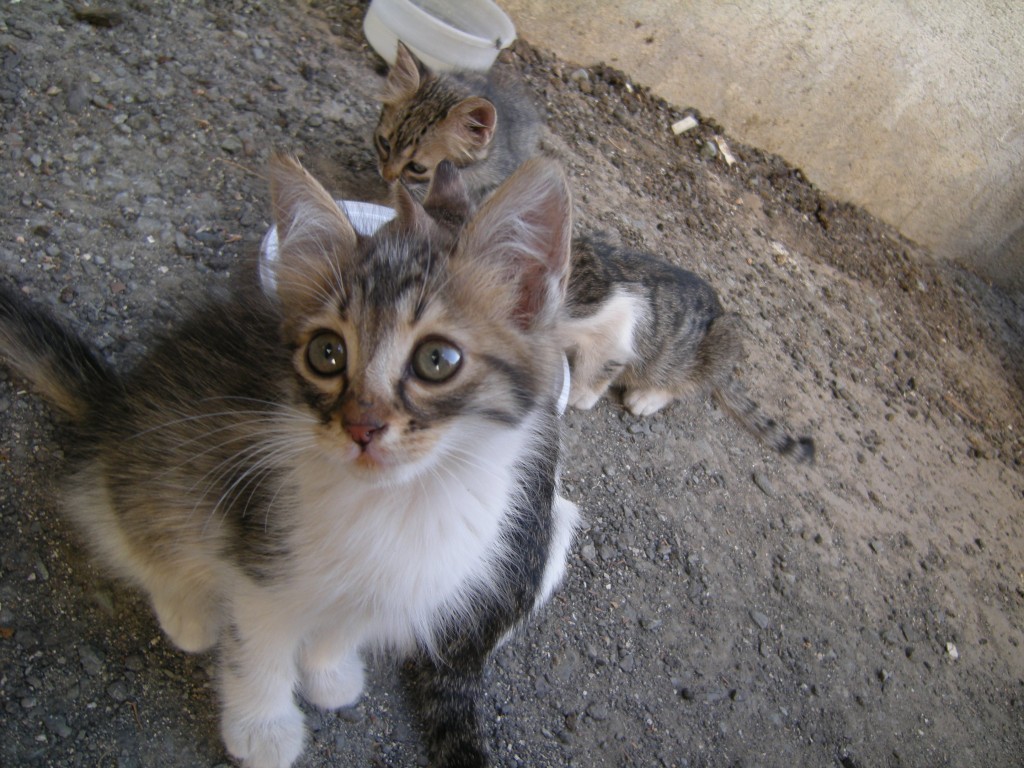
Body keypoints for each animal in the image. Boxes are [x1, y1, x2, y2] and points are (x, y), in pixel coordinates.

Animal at [0, 153, 577, 765]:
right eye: (327, 353)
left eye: (437, 360)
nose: (361, 427)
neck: (400, 503)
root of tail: (112, 405)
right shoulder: (259, 562)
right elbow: (256, 651)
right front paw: (262, 728)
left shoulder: (386, 591)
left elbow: (340, 629)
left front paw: (328, 672)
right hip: (157, 476)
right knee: (136, 534)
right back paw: (187, 609)